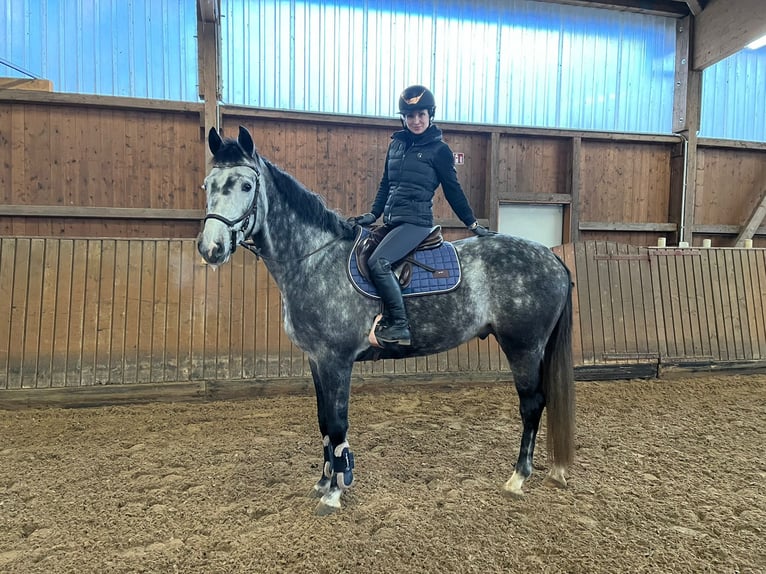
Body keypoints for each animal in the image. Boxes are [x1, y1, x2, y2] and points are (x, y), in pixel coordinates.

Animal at [197, 126, 575, 515]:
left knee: (532, 404)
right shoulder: (316, 360)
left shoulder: (336, 360)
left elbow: (337, 423)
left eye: (246, 186)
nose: (211, 248)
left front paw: (335, 491)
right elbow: (322, 420)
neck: (315, 258)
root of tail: (551, 257)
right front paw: (323, 482)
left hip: (523, 346)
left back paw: (518, 477)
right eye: (208, 185)